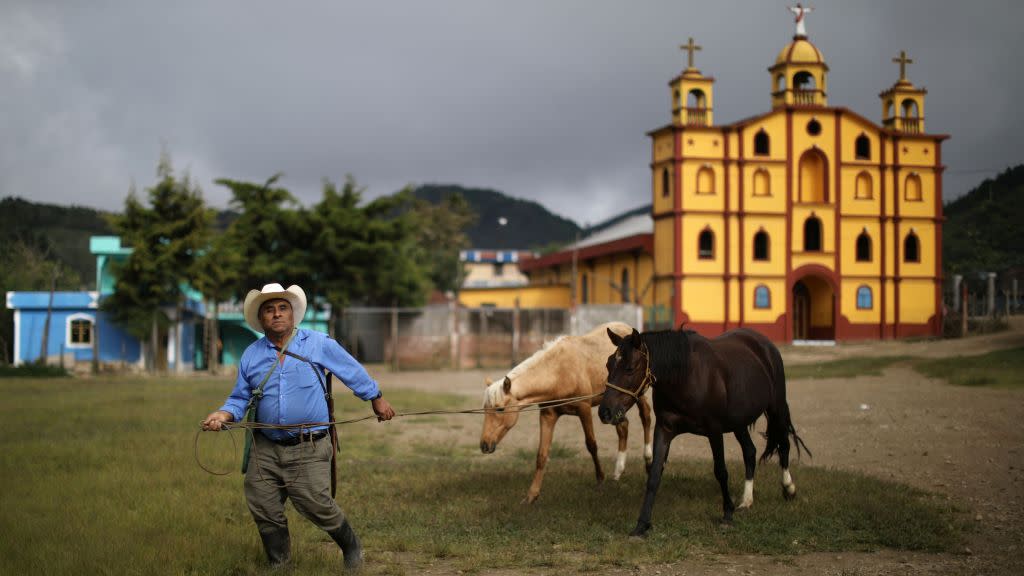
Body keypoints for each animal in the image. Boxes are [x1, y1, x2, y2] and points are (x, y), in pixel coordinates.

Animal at [481, 319, 655, 504]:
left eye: (500, 409)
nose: (484, 445)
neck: (560, 372)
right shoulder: (548, 415)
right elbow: (541, 455)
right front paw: (531, 496)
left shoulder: (584, 409)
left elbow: (592, 445)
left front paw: (600, 480)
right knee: (623, 426)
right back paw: (618, 472)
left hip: (636, 394)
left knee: (645, 416)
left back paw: (648, 462)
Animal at [598, 325, 806, 537]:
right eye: (608, 364)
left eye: (630, 368)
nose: (604, 412)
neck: (686, 375)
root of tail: (764, 343)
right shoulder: (664, 429)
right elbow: (654, 475)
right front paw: (642, 525)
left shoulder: (714, 430)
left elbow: (721, 471)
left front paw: (727, 514)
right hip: (739, 422)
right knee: (750, 452)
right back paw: (746, 501)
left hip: (776, 408)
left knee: (784, 445)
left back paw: (789, 488)